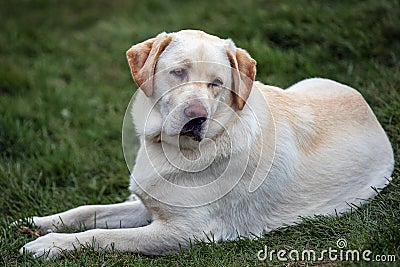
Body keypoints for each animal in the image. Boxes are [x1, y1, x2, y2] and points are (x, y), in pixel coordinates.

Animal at [19, 29, 394, 260]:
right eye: (178, 72)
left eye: (216, 84)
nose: (195, 117)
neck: (168, 149)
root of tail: (367, 106)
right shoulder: (149, 207)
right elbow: (88, 211)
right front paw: (39, 221)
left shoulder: (184, 231)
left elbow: (102, 235)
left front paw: (48, 245)